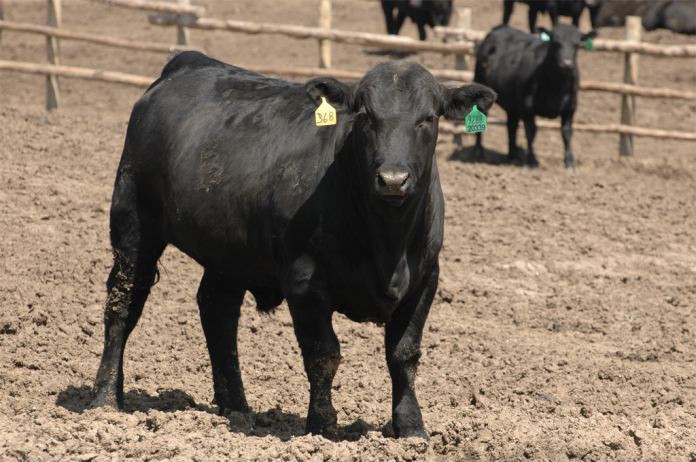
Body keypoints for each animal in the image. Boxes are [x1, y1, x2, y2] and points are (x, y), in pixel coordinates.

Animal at [90, 51, 496, 440]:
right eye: (366, 116)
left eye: (428, 118)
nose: (393, 179)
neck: (388, 242)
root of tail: (186, 63)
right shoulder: (305, 280)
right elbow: (323, 354)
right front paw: (322, 427)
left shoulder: (426, 277)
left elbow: (404, 354)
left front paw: (412, 428)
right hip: (133, 219)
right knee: (123, 304)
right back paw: (106, 399)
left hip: (229, 251)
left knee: (218, 311)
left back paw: (236, 407)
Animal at [474, 24, 596, 168]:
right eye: (556, 43)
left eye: (576, 44)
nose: (566, 63)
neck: (556, 85)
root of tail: (500, 27)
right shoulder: (527, 105)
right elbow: (531, 130)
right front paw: (530, 161)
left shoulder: (571, 106)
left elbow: (566, 132)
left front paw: (570, 162)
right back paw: (478, 153)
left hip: (513, 105)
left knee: (512, 125)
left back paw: (512, 157)